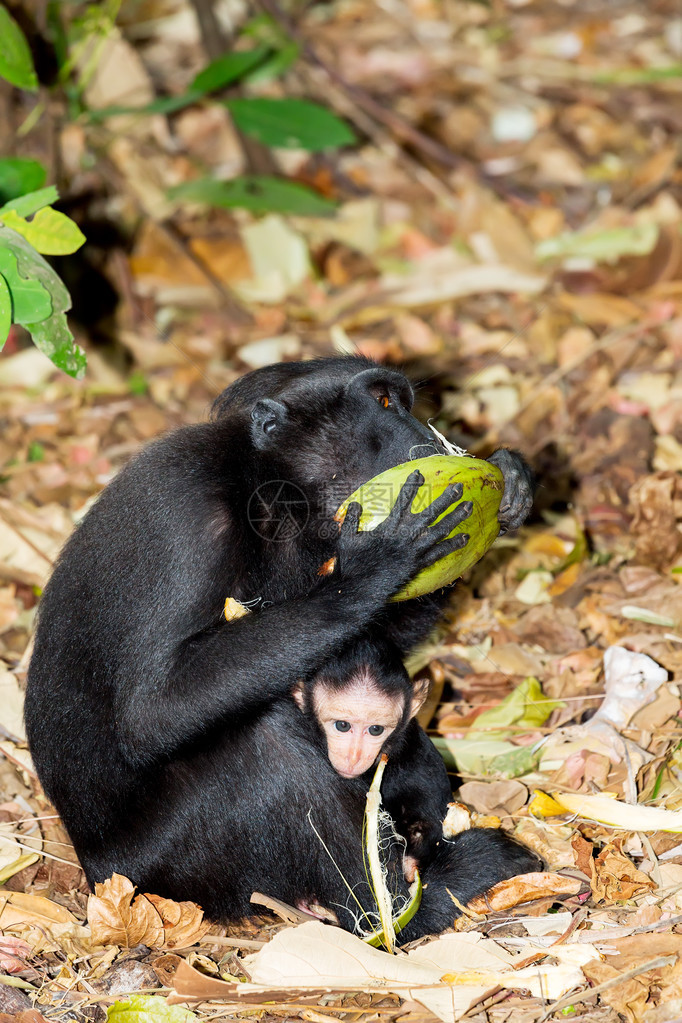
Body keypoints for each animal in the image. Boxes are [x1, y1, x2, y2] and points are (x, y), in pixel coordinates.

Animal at [25, 358, 539, 937]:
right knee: (267, 744)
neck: (268, 495)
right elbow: (148, 712)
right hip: (156, 875)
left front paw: (512, 483)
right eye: (385, 402)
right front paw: (376, 567)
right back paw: (409, 910)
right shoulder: (187, 518)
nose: (426, 437)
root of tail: (91, 867)